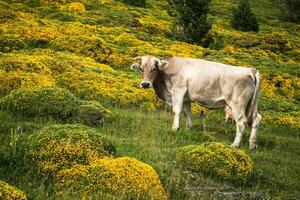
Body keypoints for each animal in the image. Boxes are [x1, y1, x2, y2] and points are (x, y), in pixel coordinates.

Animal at [130, 55, 262, 149]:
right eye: (141, 68)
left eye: (154, 69)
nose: (145, 84)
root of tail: (251, 70)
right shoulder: (186, 98)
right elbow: (187, 112)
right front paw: (188, 128)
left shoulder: (178, 91)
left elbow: (176, 111)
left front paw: (174, 128)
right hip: (252, 104)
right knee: (256, 119)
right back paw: (252, 144)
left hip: (237, 104)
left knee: (241, 122)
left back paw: (235, 145)